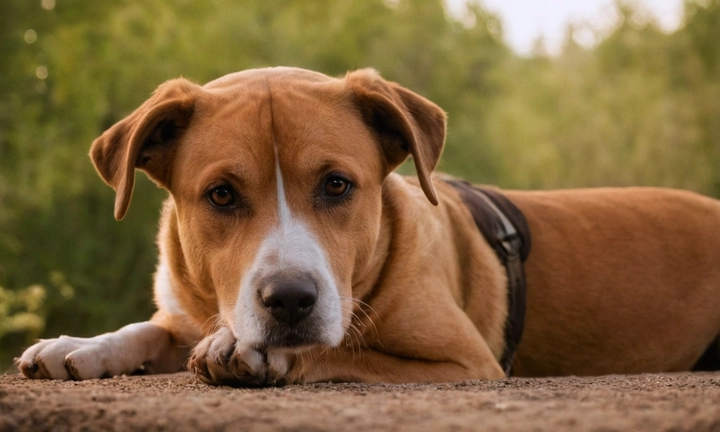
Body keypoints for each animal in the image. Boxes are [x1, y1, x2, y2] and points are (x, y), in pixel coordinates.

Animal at [15, 67, 720, 384]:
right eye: (220, 195)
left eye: (337, 184)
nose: (289, 300)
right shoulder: (186, 313)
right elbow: (146, 329)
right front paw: (78, 345)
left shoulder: (463, 362)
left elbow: (342, 348)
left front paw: (266, 354)